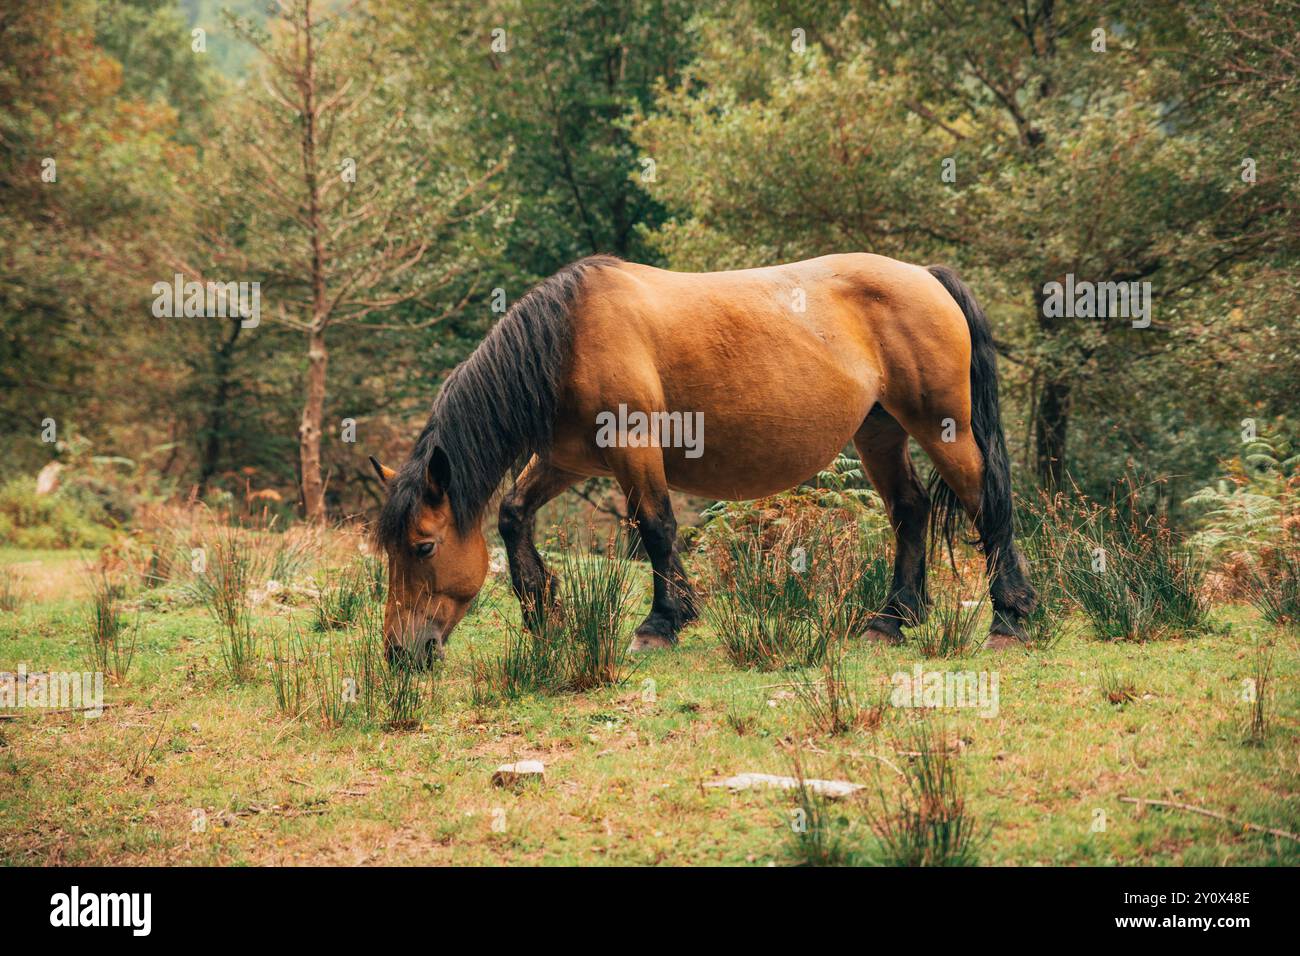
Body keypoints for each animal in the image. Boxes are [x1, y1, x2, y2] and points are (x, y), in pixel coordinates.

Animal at [370, 253, 1038, 663]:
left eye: (424, 547)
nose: (400, 652)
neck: (570, 339)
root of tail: (924, 275)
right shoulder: (568, 461)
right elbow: (512, 514)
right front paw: (540, 608)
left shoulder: (633, 449)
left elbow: (656, 529)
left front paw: (661, 623)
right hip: (880, 436)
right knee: (910, 511)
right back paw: (892, 619)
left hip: (943, 428)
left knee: (986, 506)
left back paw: (1009, 620)